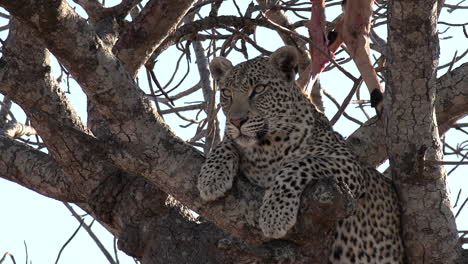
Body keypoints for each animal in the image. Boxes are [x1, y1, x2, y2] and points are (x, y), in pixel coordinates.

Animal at [197, 46, 402, 262]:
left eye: (259, 89)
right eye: (227, 93)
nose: (236, 121)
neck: (264, 150)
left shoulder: (348, 164)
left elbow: (296, 165)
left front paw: (275, 214)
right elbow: (226, 143)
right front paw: (211, 177)